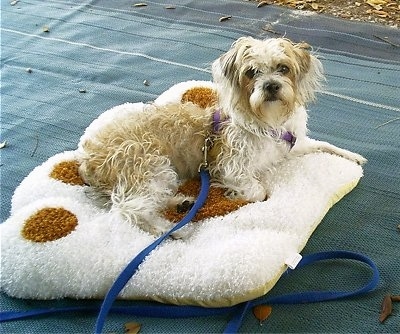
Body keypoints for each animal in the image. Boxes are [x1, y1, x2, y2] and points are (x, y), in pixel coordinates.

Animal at [77, 36, 366, 235]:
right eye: (251, 72)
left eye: (283, 68)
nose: (271, 86)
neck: (267, 121)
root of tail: (87, 158)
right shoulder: (231, 166)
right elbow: (259, 191)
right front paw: (233, 194)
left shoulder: (293, 146)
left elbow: (322, 144)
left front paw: (352, 156)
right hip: (150, 166)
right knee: (129, 209)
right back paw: (171, 231)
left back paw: (181, 204)